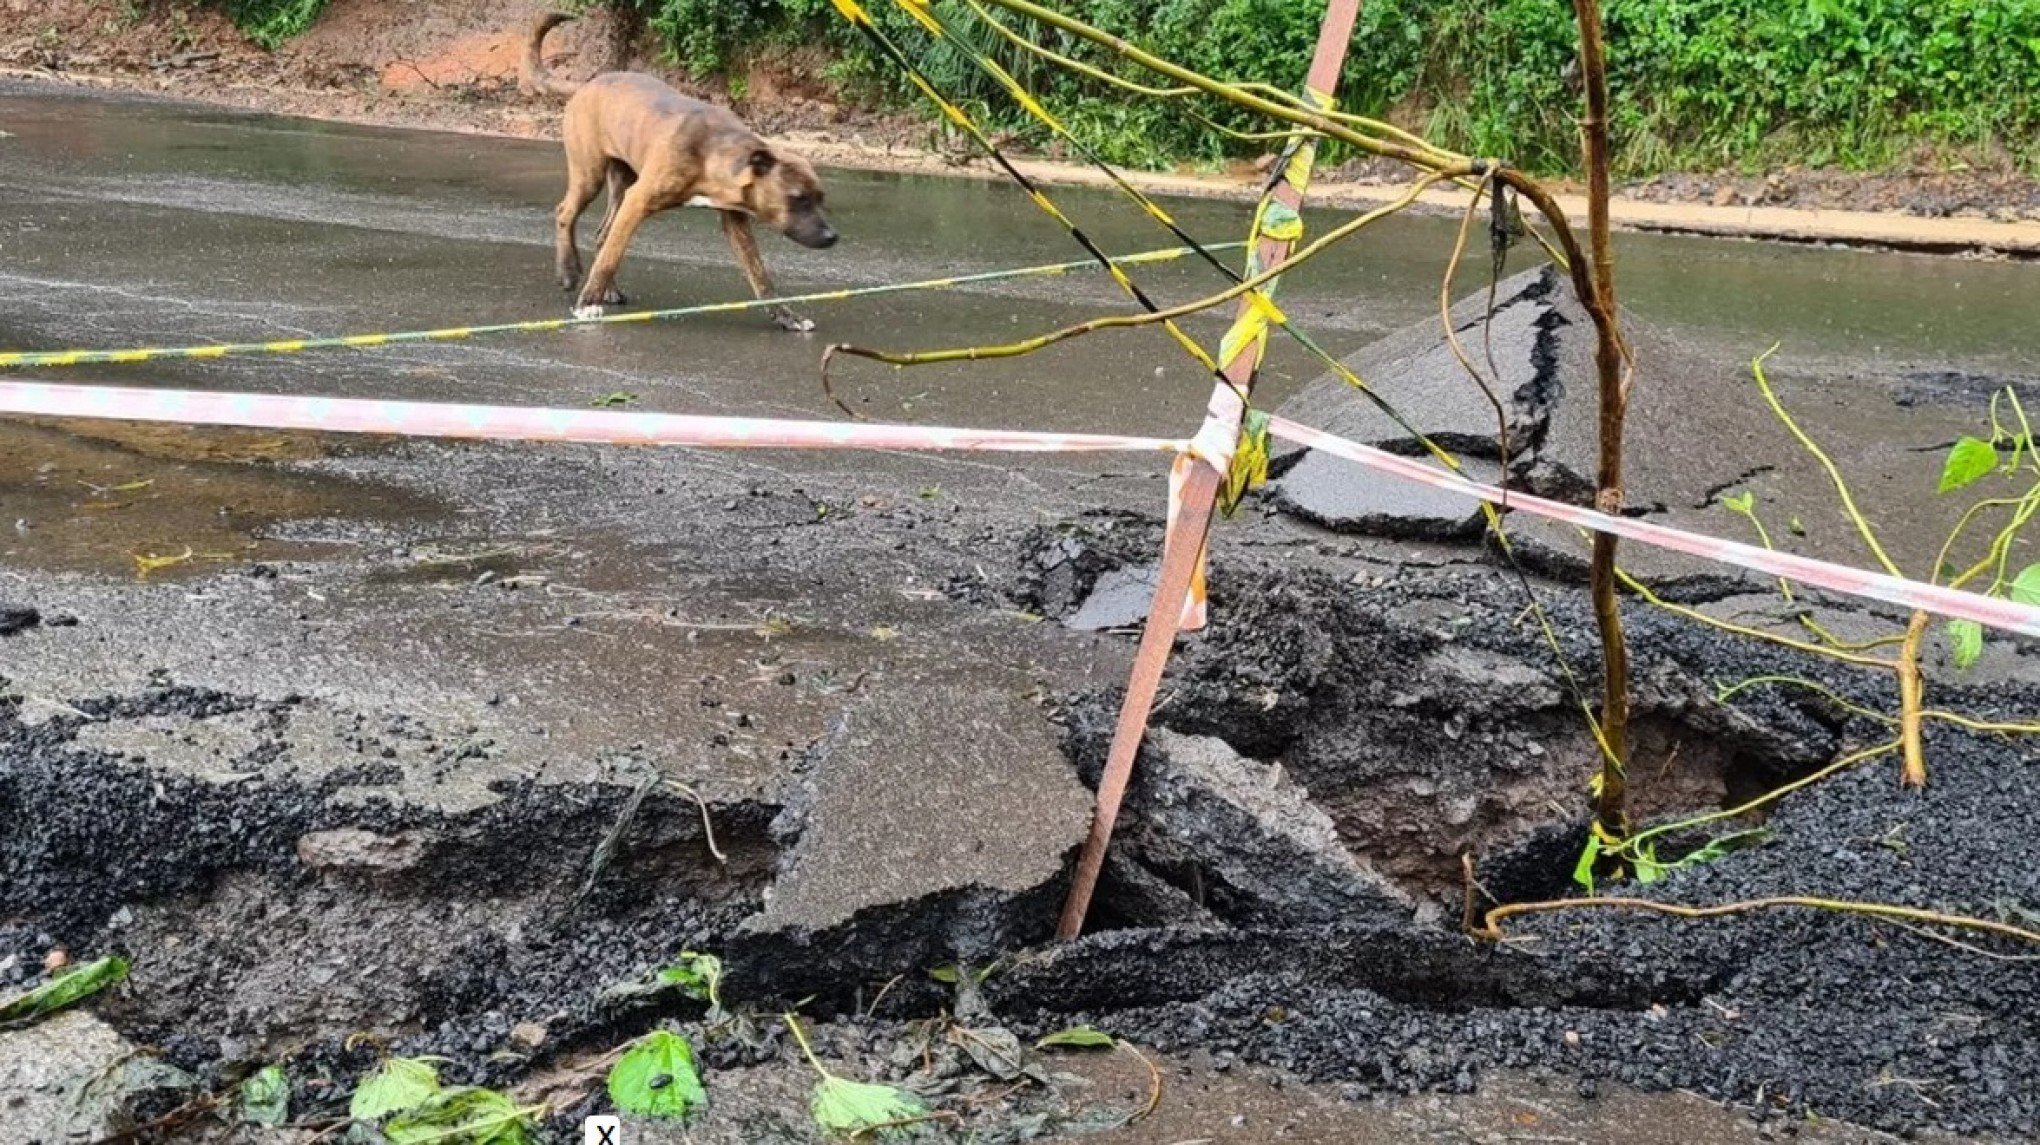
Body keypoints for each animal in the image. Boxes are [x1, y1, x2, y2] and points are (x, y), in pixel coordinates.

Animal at [522, 12, 832, 326]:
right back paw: (568, 271)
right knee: (567, 214)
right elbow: (611, 257)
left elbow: (760, 274)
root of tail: (587, 84)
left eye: (820, 198)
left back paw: (608, 290)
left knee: (603, 234)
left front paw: (786, 315)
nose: (833, 237)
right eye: (797, 199)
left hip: (621, 182)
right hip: (589, 174)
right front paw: (587, 303)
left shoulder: (735, 221)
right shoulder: (638, 201)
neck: (711, 152)